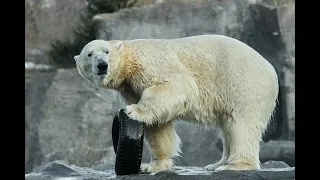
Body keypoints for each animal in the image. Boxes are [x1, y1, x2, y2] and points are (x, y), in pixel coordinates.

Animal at [74, 34, 278, 174]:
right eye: (89, 54)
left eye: (106, 52)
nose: (102, 65)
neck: (130, 59)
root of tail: (271, 70)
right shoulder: (131, 88)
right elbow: (158, 126)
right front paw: (153, 166)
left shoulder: (151, 65)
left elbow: (177, 85)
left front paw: (133, 111)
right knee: (227, 126)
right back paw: (217, 164)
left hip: (243, 85)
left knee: (242, 125)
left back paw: (235, 165)